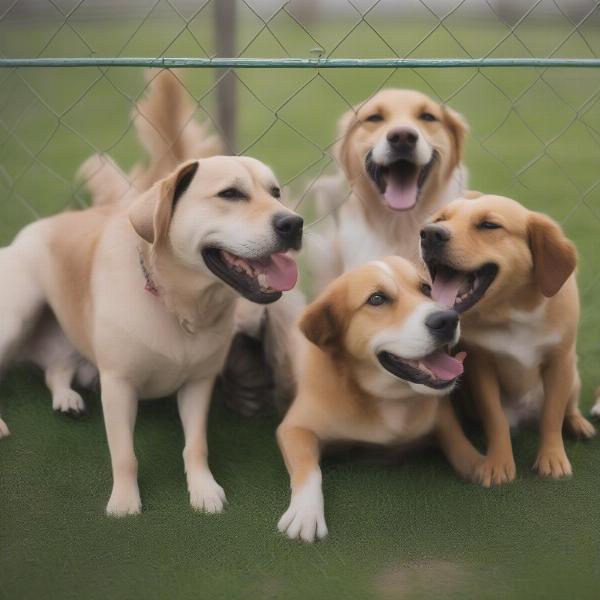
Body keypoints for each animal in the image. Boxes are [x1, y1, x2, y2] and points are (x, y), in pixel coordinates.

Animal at [0, 155, 302, 516]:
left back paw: (67, 399)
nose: (294, 223)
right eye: (230, 194)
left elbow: (196, 445)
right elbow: (124, 454)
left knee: (56, 370)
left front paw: (203, 488)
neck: (180, 306)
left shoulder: (199, 383)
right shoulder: (118, 384)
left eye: (276, 192)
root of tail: (36, 227)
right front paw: (125, 501)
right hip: (17, 315)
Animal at [278, 255, 482, 540]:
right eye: (376, 299)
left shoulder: (442, 417)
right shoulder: (294, 428)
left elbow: (459, 443)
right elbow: (309, 468)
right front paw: (306, 512)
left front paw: (481, 464)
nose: (448, 319)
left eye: (426, 289)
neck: (388, 398)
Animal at [420, 196, 596, 488]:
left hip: (573, 376)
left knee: (568, 408)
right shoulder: (480, 366)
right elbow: (496, 420)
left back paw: (579, 423)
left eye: (489, 225)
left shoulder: (560, 363)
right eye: (440, 220)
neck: (512, 312)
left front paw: (552, 458)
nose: (429, 234)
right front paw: (498, 463)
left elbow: (552, 415)